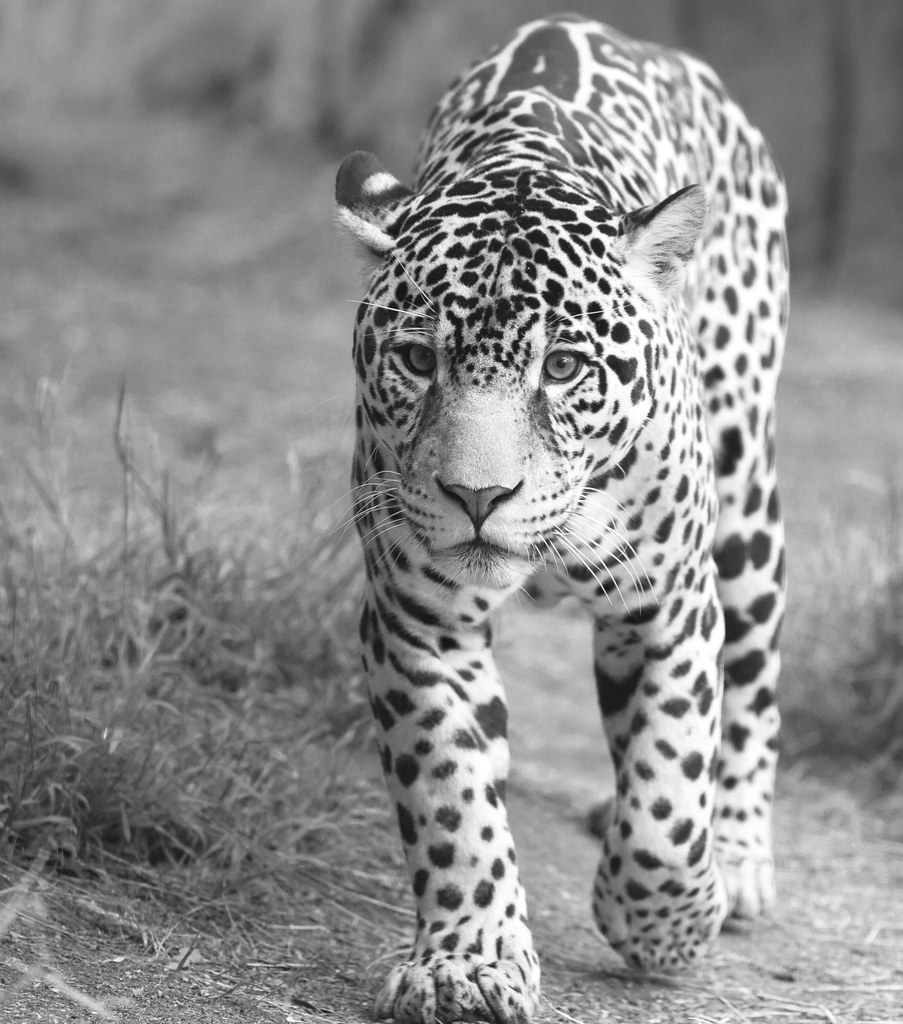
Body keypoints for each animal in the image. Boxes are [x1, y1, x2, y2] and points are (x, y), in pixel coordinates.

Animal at [334, 15, 788, 1024]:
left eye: (566, 367)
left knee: (750, 687)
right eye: (417, 360)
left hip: (747, 502)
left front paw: (667, 922)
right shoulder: (415, 620)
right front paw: (467, 962)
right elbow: (451, 795)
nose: (476, 496)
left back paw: (738, 858)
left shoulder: (670, 604)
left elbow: (669, 792)